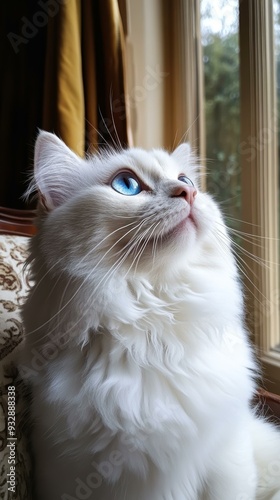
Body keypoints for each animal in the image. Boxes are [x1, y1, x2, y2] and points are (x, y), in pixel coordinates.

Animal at [19, 131, 280, 498]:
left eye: (185, 180)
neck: (153, 330)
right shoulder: (68, 478)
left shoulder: (226, 458)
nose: (187, 192)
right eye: (126, 184)